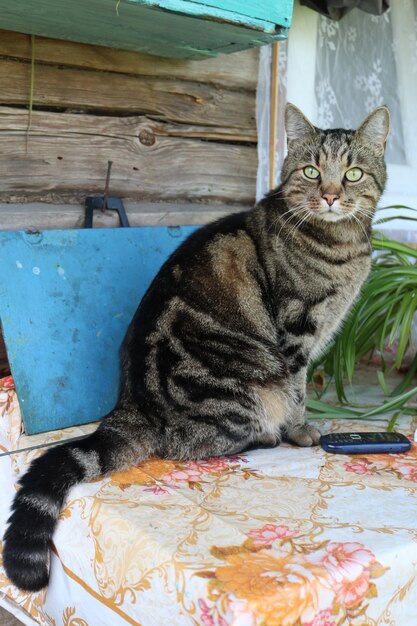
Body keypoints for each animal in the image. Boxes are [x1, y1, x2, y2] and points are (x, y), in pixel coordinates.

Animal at [3, 105, 388, 588]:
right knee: (197, 443)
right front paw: (302, 431)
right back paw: (266, 435)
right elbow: (298, 392)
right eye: (312, 171)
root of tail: (130, 406)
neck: (341, 244)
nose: (332, 196)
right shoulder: (295, 333)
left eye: (353, 173)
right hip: (247, 385)